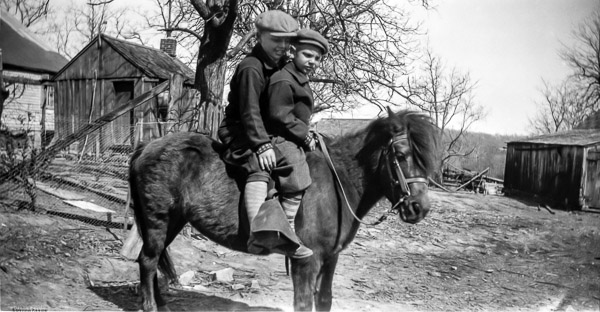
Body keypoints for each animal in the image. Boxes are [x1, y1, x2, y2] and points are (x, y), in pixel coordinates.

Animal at [129, 108, 436, 310]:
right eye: (401, 155)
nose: (419, 207)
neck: (339, 181)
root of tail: (147, 145)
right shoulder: (308, 260)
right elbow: (303, 303)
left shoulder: (331, 258)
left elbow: (324, 299)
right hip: (158, 219)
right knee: (148, 260)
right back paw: (151, 306)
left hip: (175, 220)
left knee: (153, 260)